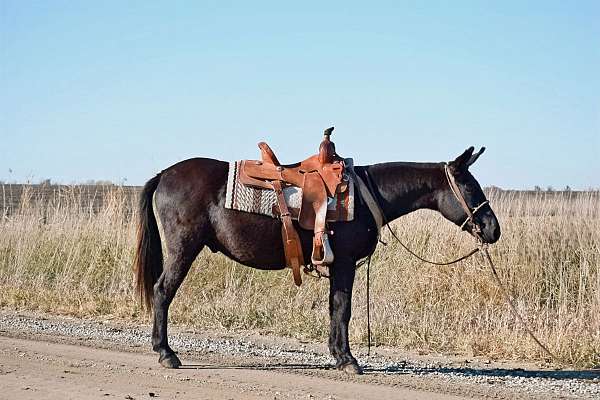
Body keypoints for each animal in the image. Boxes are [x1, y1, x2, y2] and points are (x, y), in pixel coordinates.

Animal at [134, 145, 500, 374]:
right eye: (469, 186)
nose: (492, 229)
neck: (366, 195)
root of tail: (165, 174)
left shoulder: (338, 265)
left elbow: (334, 308)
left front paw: (338, 355)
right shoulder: (345, 264)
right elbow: (343, 308)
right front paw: (348, 359)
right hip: (183, 249)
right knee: (163, 291)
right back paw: (166, 352)